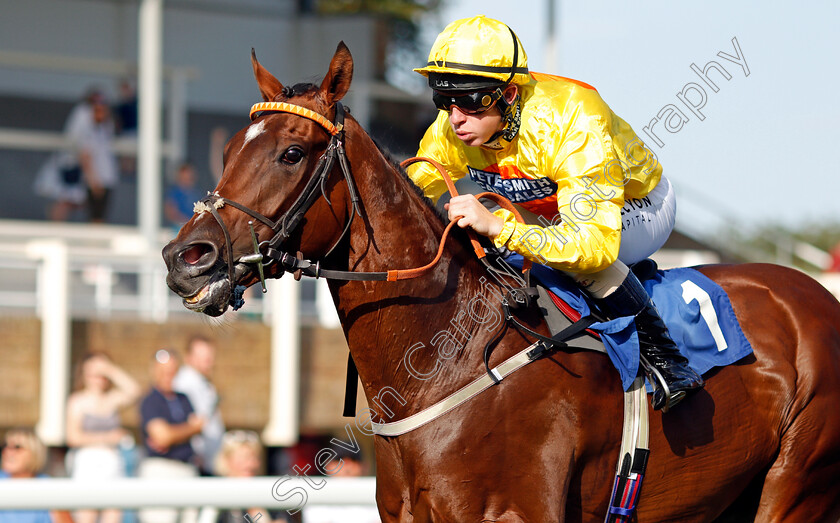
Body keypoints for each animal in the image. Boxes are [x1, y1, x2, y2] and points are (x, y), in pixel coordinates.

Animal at [164, 43, 840, 520]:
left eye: (292, 154)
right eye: (226, 150)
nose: (185, 257)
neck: (448, 360)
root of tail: (814, 293)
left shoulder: (514, 511)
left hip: (795, 486)